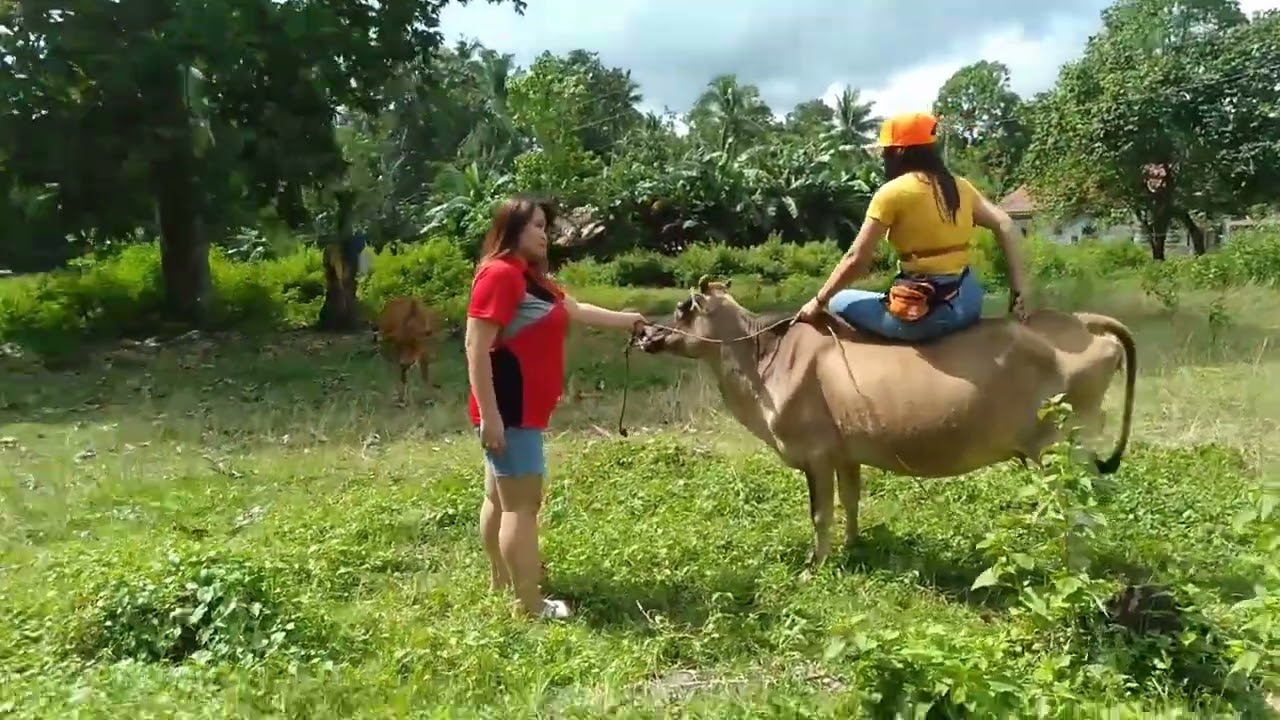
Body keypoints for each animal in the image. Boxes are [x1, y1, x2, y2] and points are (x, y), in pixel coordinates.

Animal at [632, 277, 1136, 571]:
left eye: (682, 308)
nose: (641, 331)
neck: (762, 364)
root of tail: (1082, 320)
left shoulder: (815, 452)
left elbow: (820, 513)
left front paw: (815, 566)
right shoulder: (845, 451)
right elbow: (852, 501)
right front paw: (853, 547)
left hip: (1065, 449)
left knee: (1079, 517)